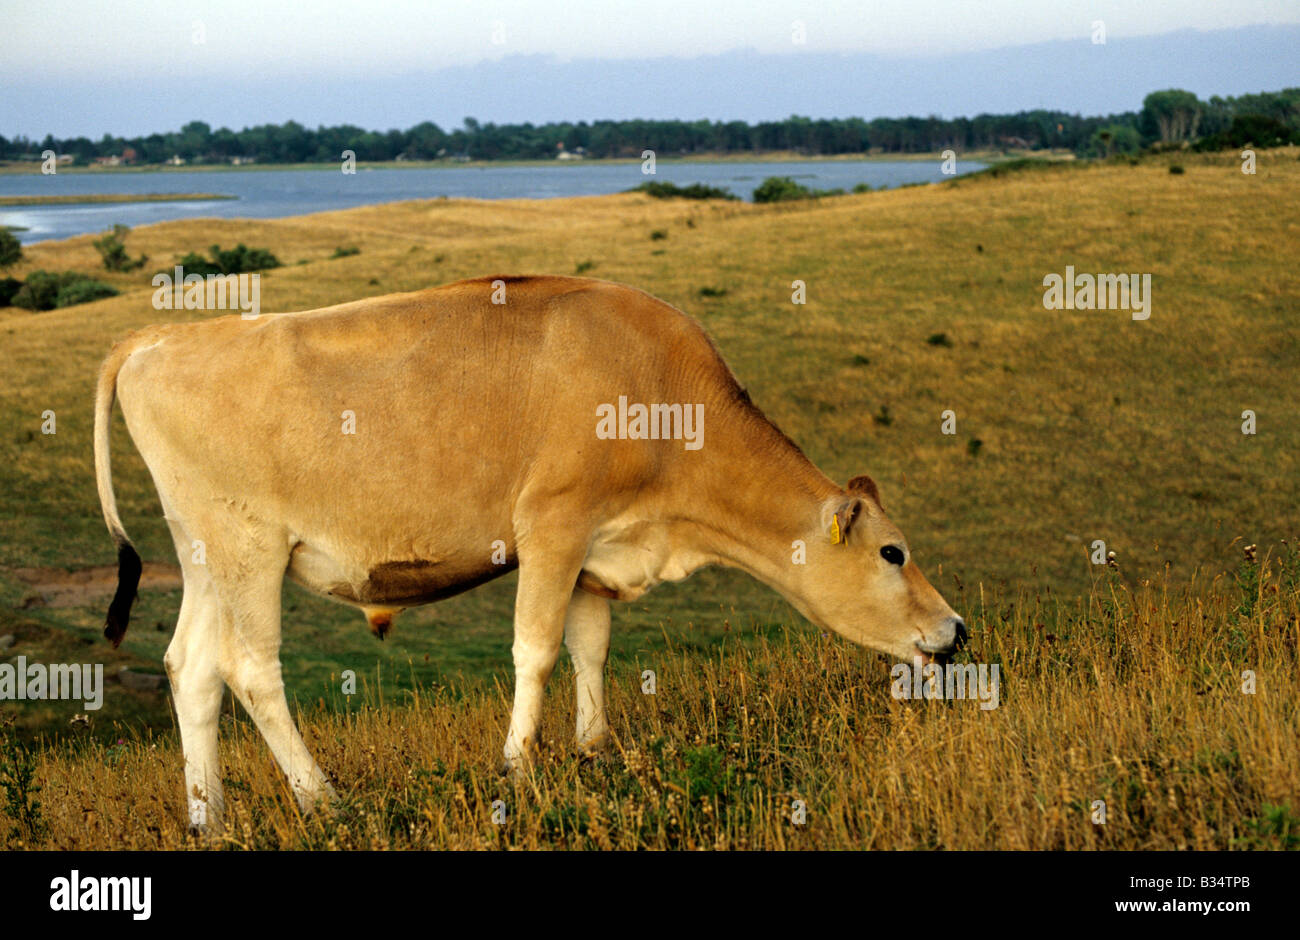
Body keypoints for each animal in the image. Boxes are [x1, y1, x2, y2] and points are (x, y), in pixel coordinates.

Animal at [94, 274, 967, 832]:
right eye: (893, 553)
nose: (956, 630)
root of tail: (157, 335)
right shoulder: (553, 526)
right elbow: (536, 649)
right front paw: (517, 767)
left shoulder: (594, 549)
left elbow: (590, 648)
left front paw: (595, 751)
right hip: (250, 550)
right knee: (251, 670)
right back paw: (324, 800)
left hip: (204, 557)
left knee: (191, 669)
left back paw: (208, 816)